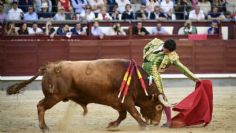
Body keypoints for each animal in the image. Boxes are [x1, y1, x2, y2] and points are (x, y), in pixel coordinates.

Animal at [6, 59, 165, 131]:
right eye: (159, 107)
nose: (156, 123)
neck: (136, 81)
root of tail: (49, 67)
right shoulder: (126, 100)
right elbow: (134, 113)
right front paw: (144, 125)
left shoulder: (119, 102)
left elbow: (123, 115)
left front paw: (111, 125)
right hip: (53, 97)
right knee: (40, 106)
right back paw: (44, 127)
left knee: (40, 106)